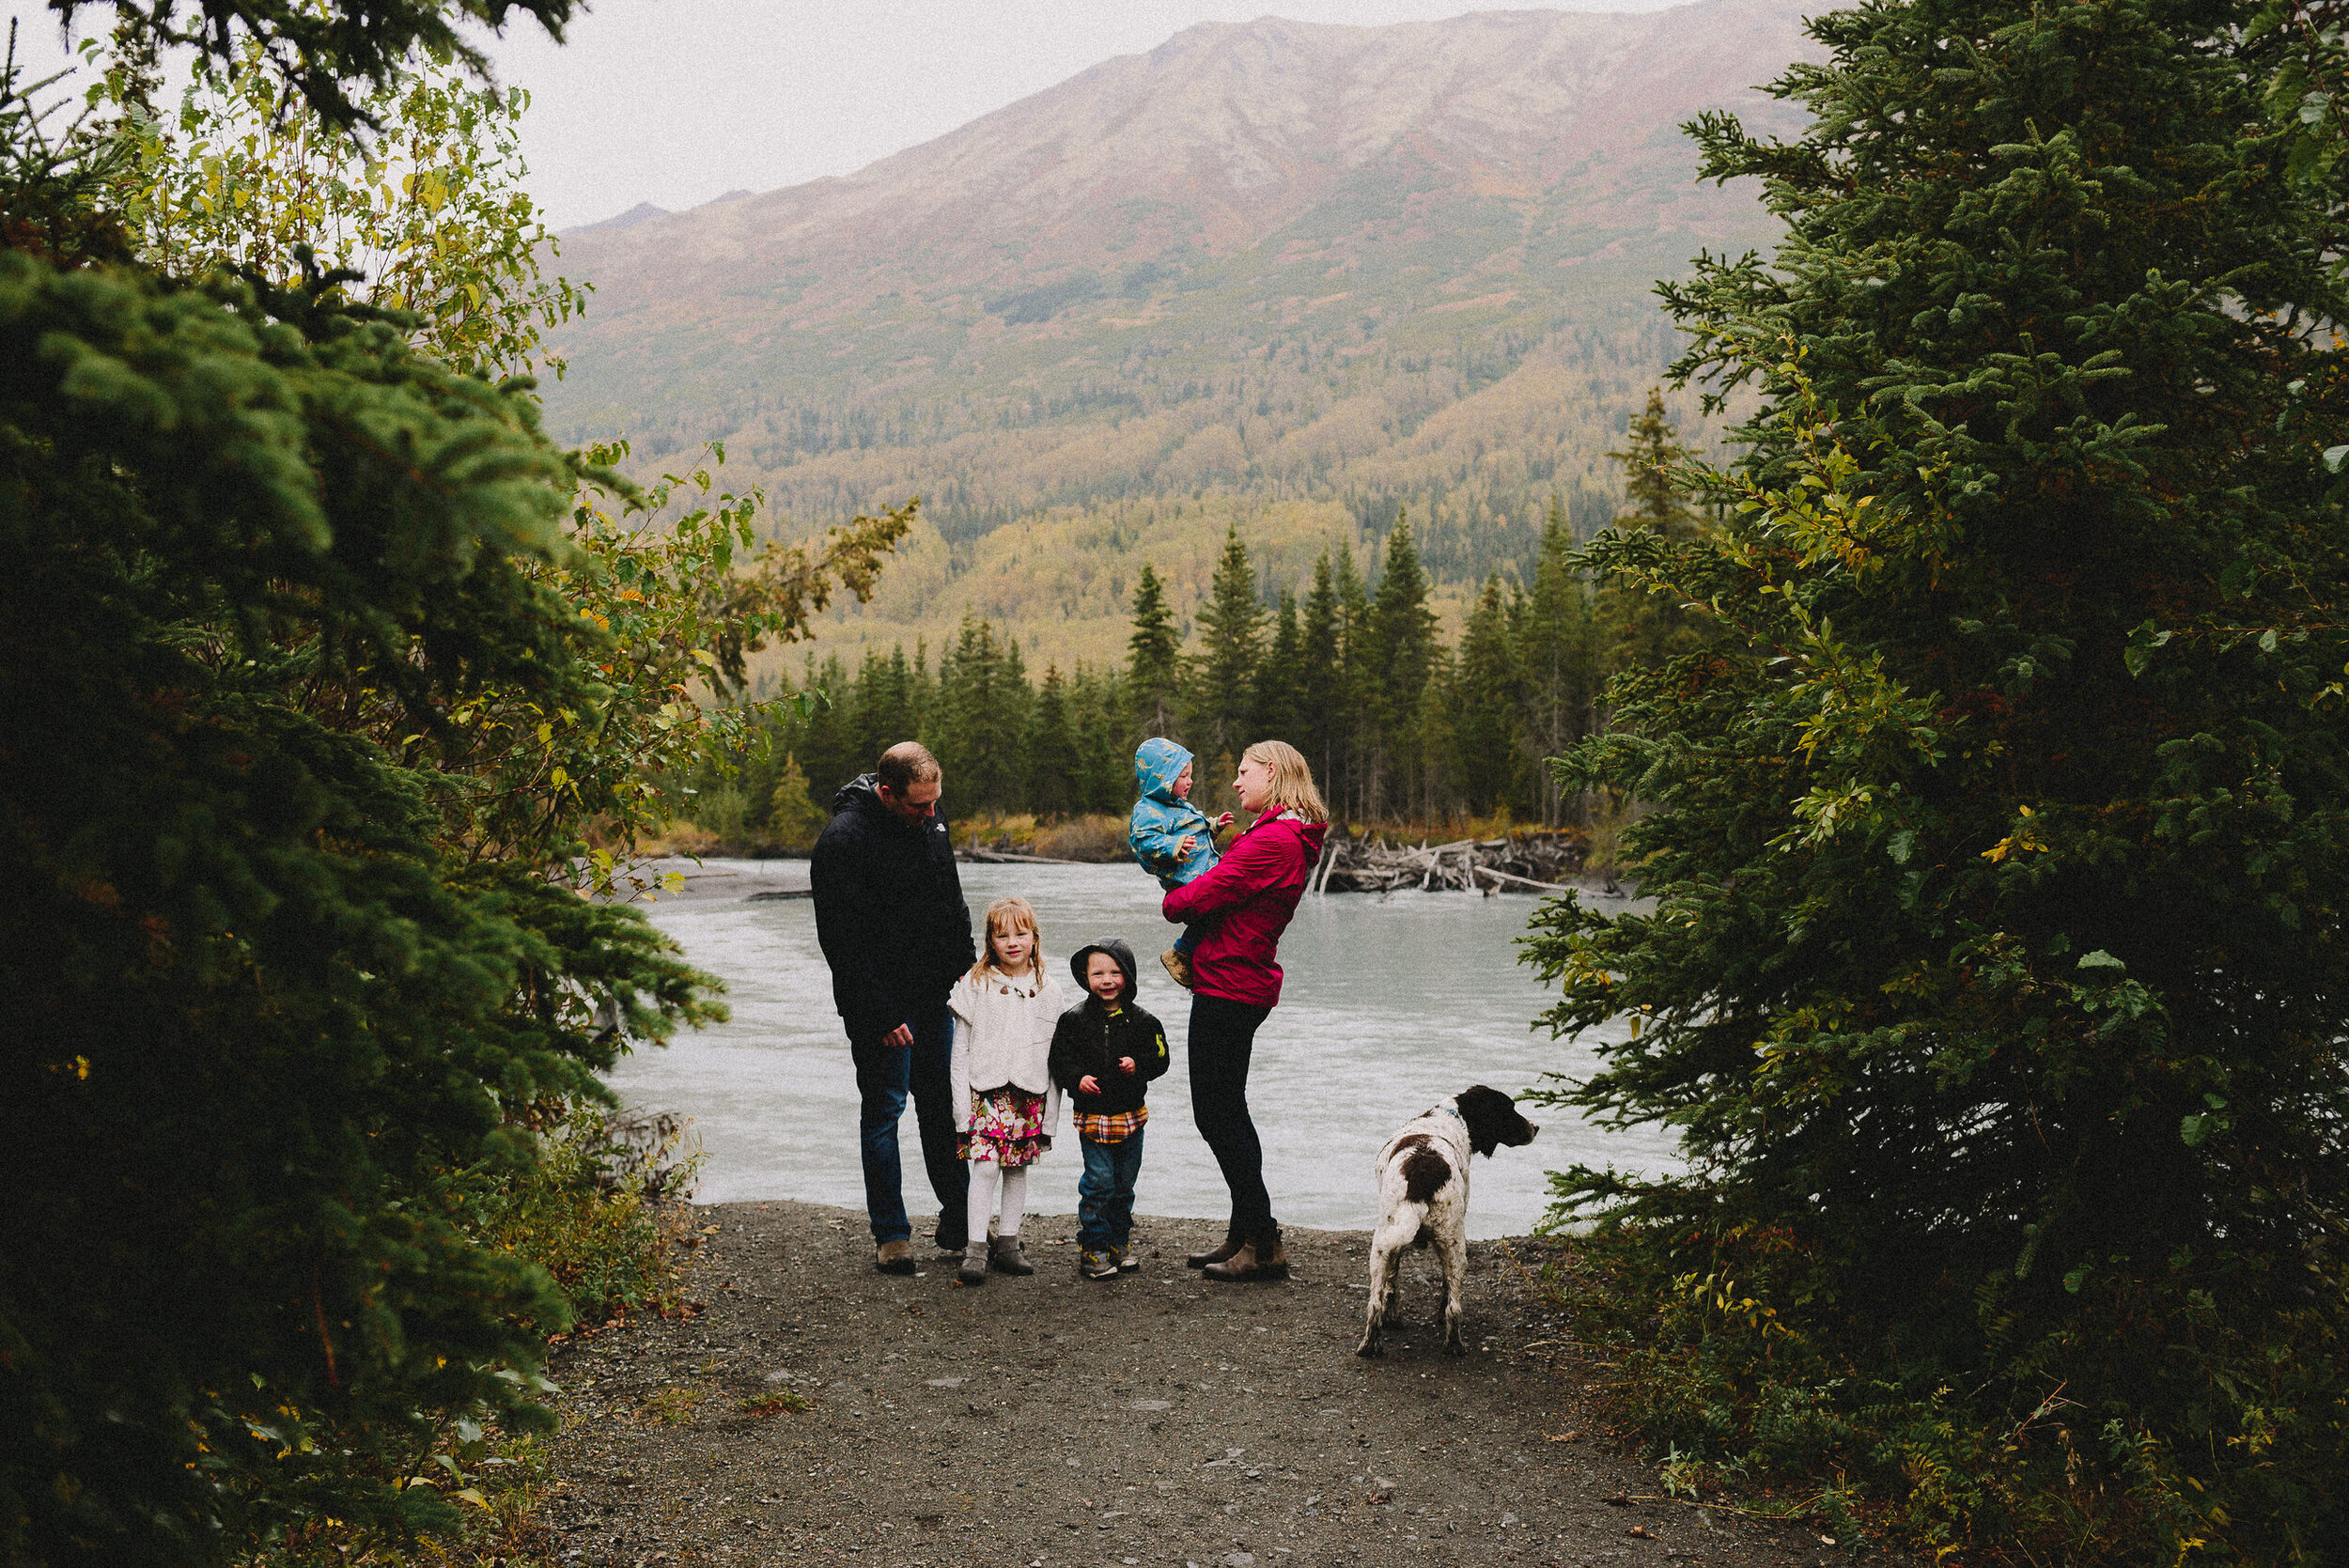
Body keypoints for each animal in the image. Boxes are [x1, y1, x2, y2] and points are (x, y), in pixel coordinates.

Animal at [1362, 1084, 1541, 1352]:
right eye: (1510, 1108)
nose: (1536, 1127)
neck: (1449, 1118)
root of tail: (1421, 1178)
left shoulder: (1397, 1244)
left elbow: (1393, 1286)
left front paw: (1393, 1318)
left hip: (1385, 1243)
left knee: (1375, 1304)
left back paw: (1369, 1347)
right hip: (1453, 1243)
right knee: (1454, 1307)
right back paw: (1454, 1345)